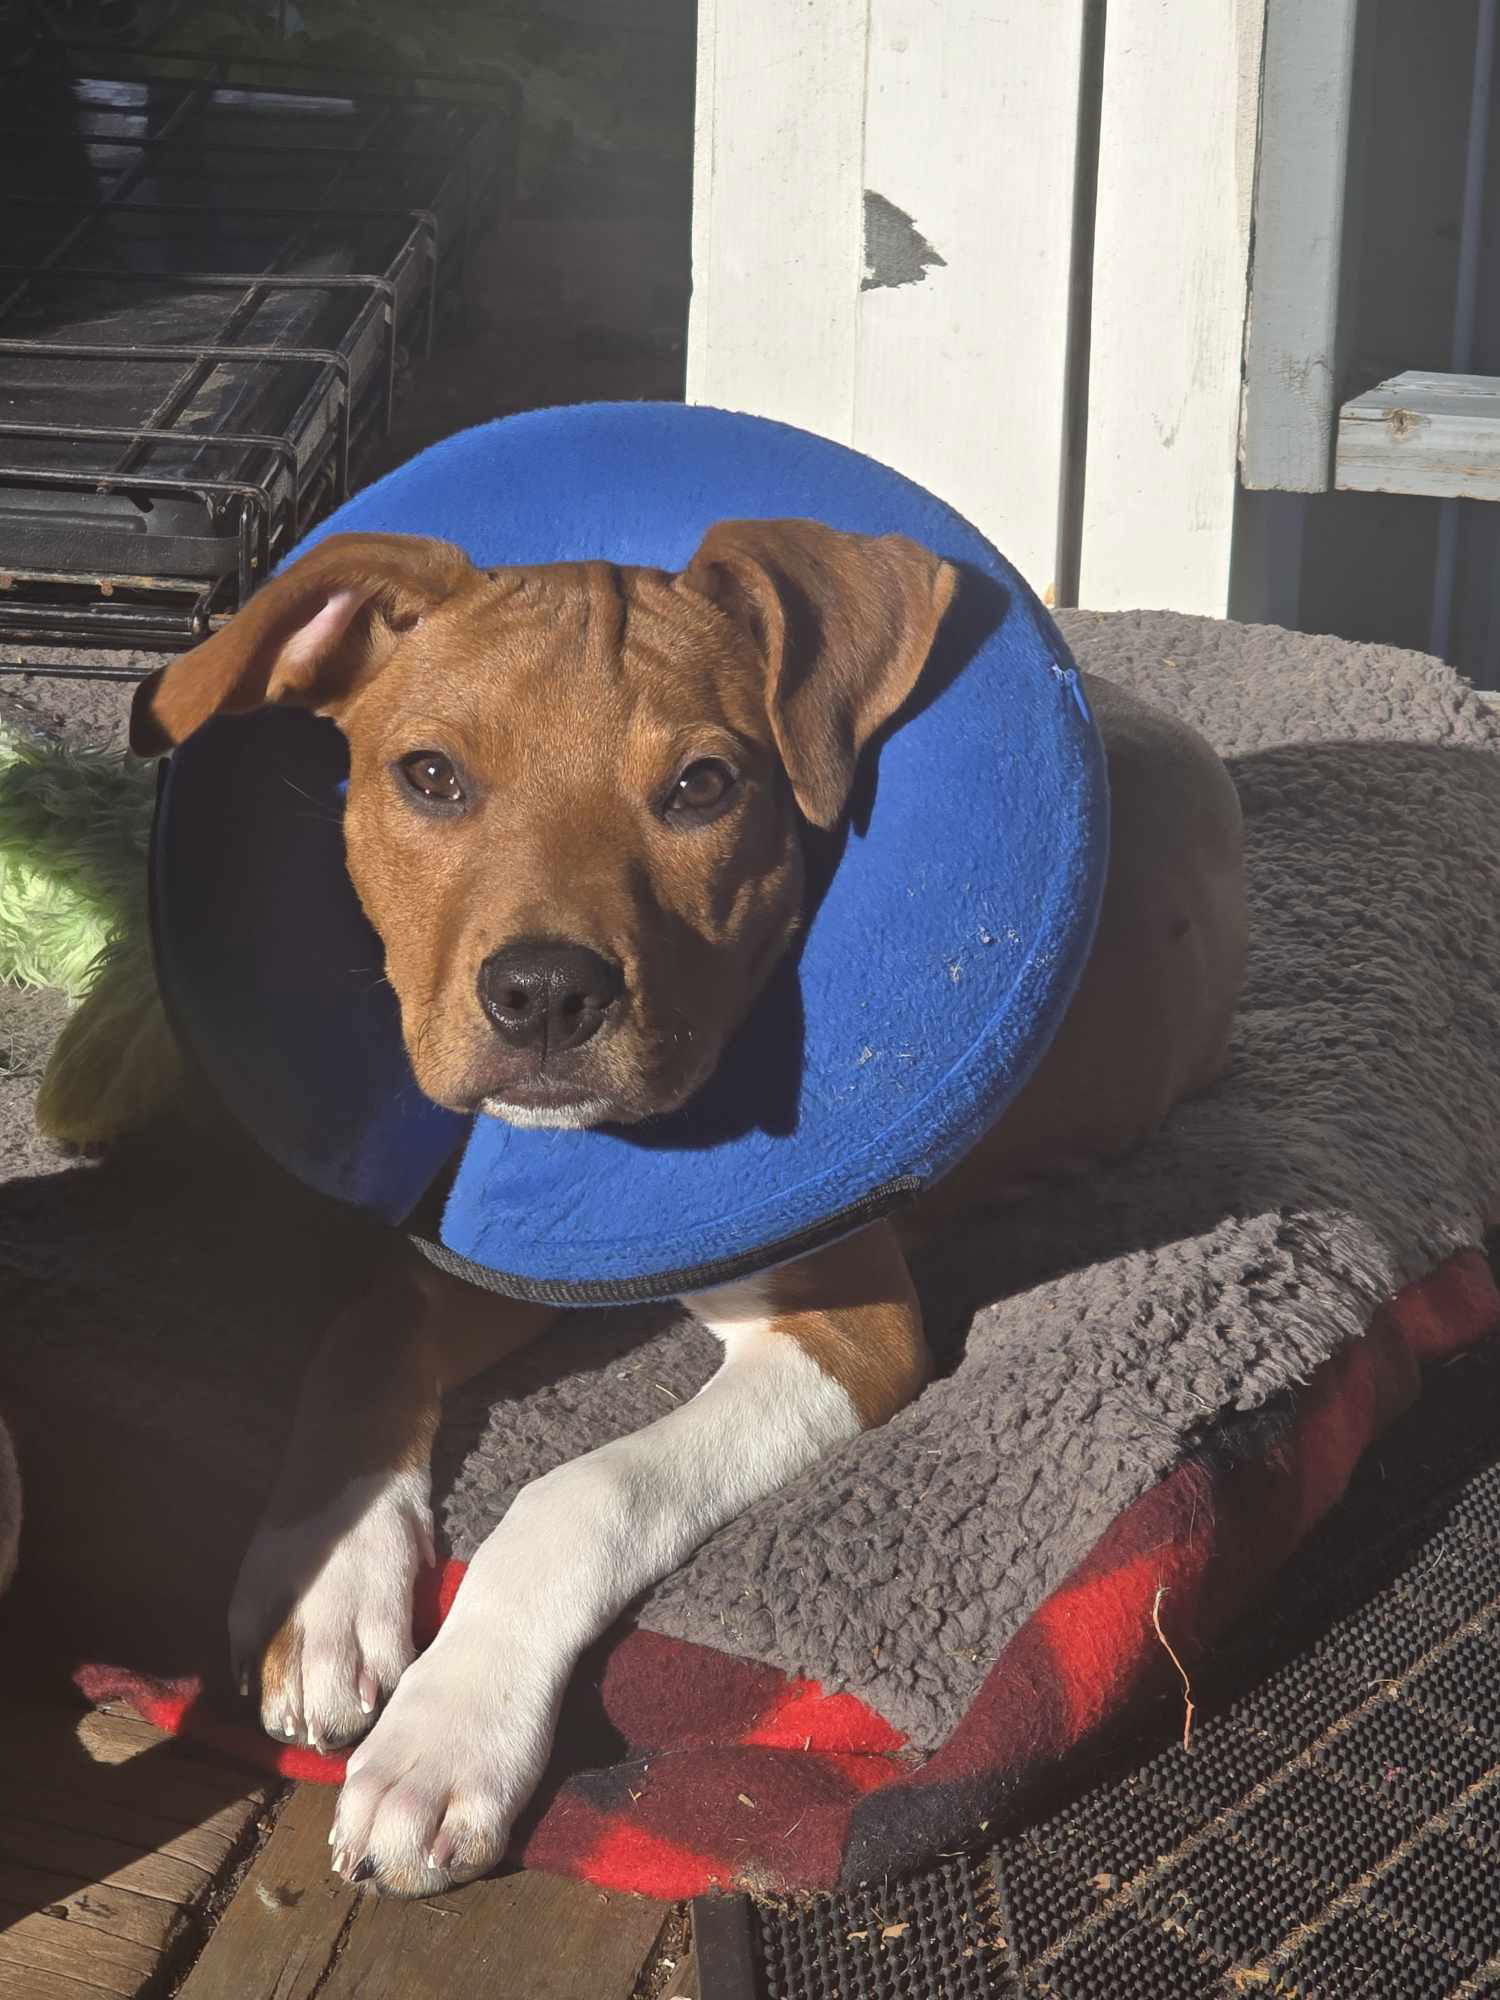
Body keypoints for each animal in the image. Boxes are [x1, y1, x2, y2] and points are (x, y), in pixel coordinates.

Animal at [135, 516, 1248, 1888]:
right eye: (430, 775)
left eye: (703, 788)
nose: (543, 996)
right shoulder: (475, 1250)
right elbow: (361, 1333)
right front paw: (329, 1585)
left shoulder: (851, 1331)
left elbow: (583, 1492)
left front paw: (445, 1737)